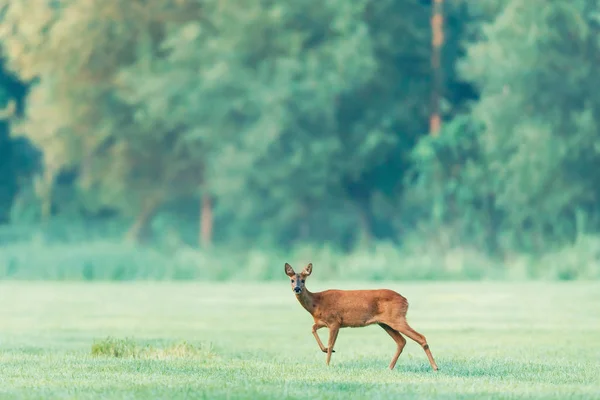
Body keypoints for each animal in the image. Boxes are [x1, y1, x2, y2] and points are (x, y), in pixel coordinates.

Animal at [284, 260, 438, 370]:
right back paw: (389, 367)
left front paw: (327, 363)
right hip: (385, 323)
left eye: (303, 280)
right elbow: (312, 328)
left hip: (397, 318)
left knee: (420, 337)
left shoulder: (335, 321)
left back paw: (435, 367)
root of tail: (406, 300)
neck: (316, 303)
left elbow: (330, 342)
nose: (297, 288)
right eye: (292, 280)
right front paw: (326, 350)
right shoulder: (322, 321)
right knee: (401, 341)